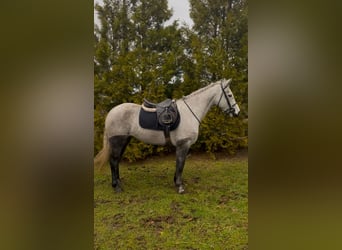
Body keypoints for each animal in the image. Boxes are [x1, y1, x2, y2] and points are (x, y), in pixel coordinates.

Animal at [94, 78, 240, 193]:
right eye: (229, 95)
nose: (237, 112)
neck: (189, 112)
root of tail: (111, 112)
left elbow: (179, 164)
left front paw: (176, 182)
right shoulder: (184, 144)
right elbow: (181, 164)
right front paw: (180, 186)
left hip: (125, 140)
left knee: (116, 160)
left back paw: (119, 183)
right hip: (118, 141)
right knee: (113, 161)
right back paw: (116, 187)